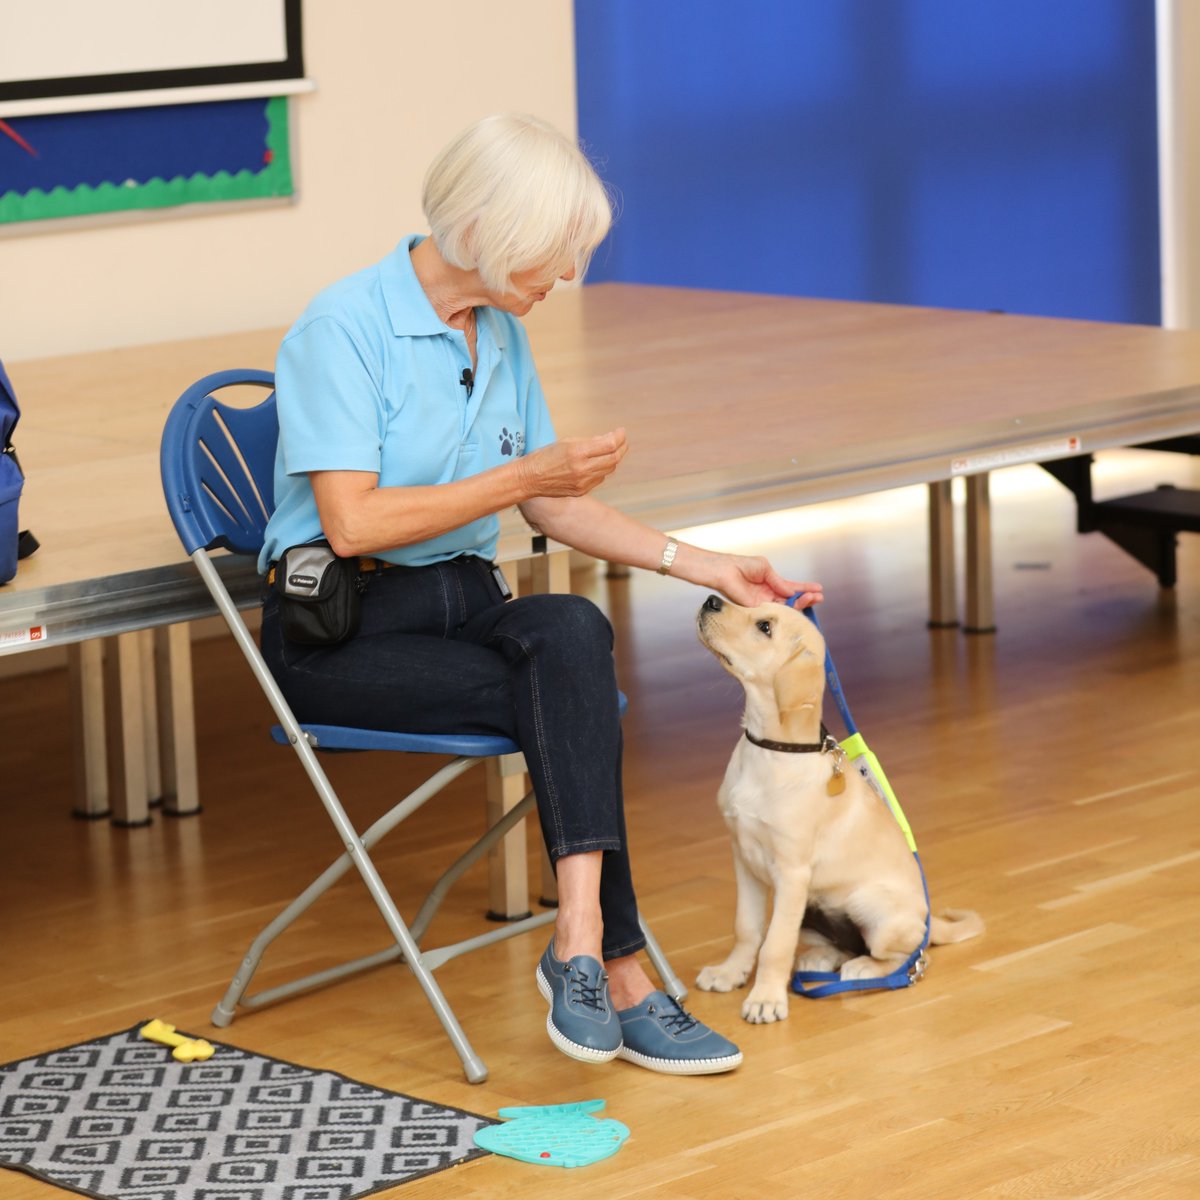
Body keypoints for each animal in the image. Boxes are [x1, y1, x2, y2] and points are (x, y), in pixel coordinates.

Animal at [696, 595, 984, 1027]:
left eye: (765, 626)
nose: (711, 599)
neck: (772, 750)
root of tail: (927, 923)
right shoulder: (743, 858)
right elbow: (746, 928)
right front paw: (730, 973)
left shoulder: (792, 873)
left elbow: (775, 943)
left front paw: (765, 998)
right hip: (812, 910)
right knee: (842, 945)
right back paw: (820, 958)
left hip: (873, 906)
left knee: (910, 958)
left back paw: (865, 968)